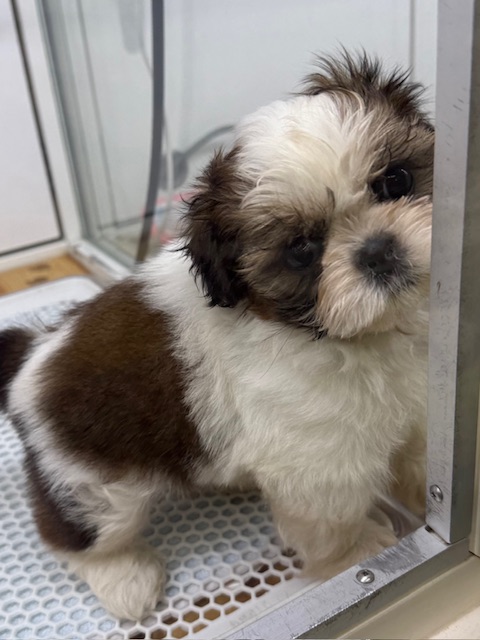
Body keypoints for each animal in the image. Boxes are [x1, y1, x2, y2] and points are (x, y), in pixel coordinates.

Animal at [0, 53, 434, 620]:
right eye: (301, 250)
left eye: (396, 179)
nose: (378, 250)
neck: (352, 337)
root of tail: (31, 353)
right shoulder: (319, 459)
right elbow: (332, 518)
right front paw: (360, 552)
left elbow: (417, 455)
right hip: (88, 479)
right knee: (76, 533)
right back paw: (121, 573)